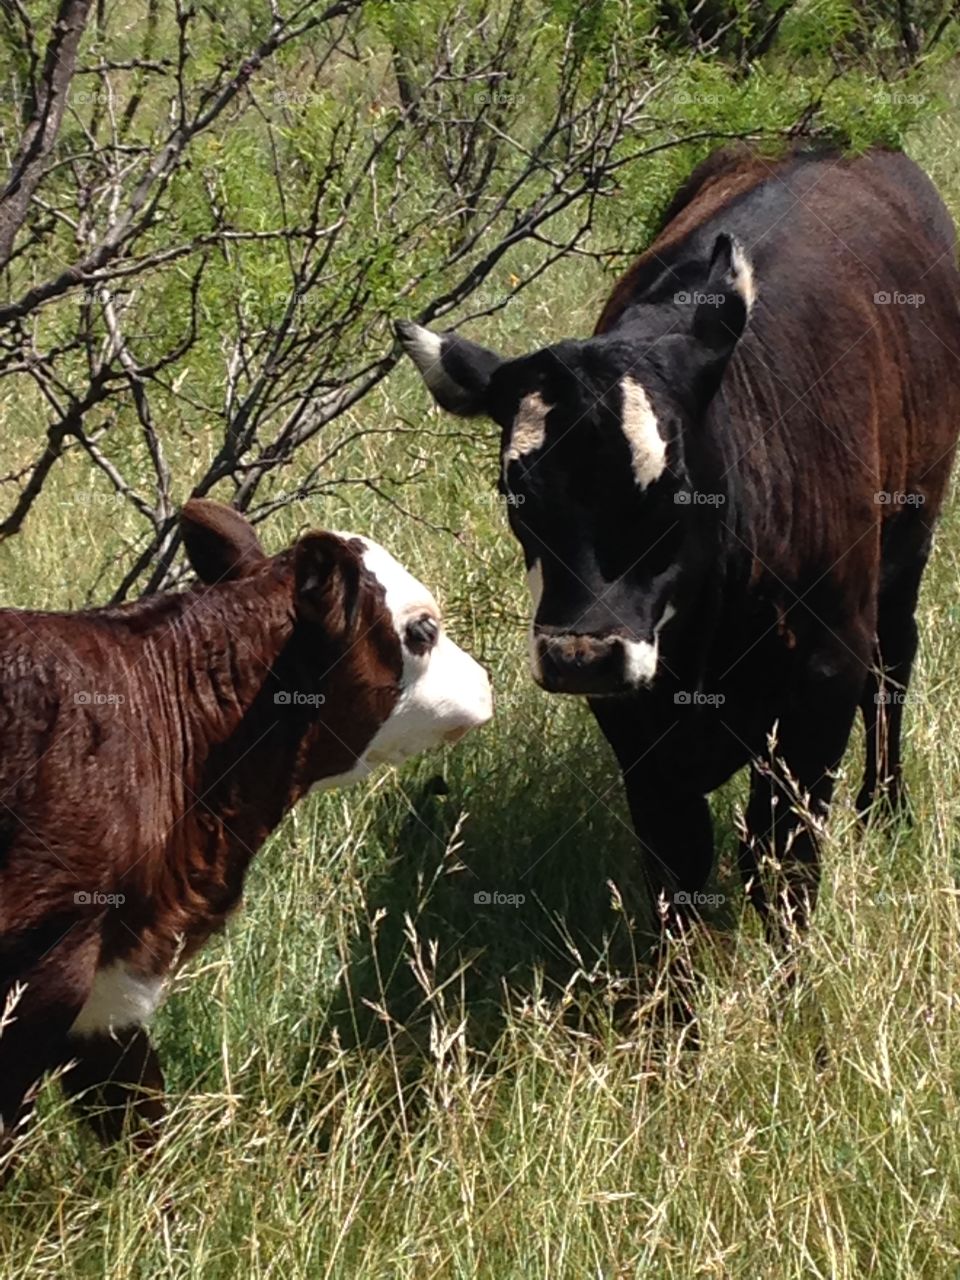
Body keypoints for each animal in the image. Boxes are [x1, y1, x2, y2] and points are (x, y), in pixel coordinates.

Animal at [401, 147, 960, 952]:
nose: (581, 655)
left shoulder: (824, 673)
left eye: (675, 483)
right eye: (516, 489)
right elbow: (677, 862)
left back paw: (885, 807)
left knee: (895, 665)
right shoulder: (636, 720)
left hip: (910, 540)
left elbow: (783, 859)